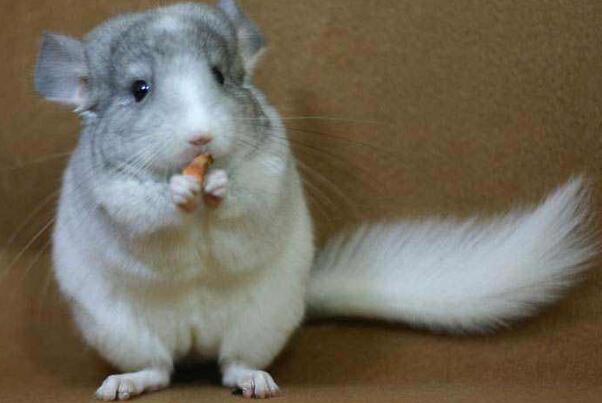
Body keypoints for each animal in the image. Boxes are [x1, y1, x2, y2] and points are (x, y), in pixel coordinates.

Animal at [34, 0, 595, 400]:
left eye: (219, 75)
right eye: (140, 89)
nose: (202, 137)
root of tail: (195, 345)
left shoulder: (271, 171)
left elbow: (248, 198)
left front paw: (220, 186)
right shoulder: (113, 198)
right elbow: (147, 212)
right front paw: (180, 191)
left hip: (262, 322)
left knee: (232, 364)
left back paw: (255, 382)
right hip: (121, 331)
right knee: (159, 370)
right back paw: (122, 385)